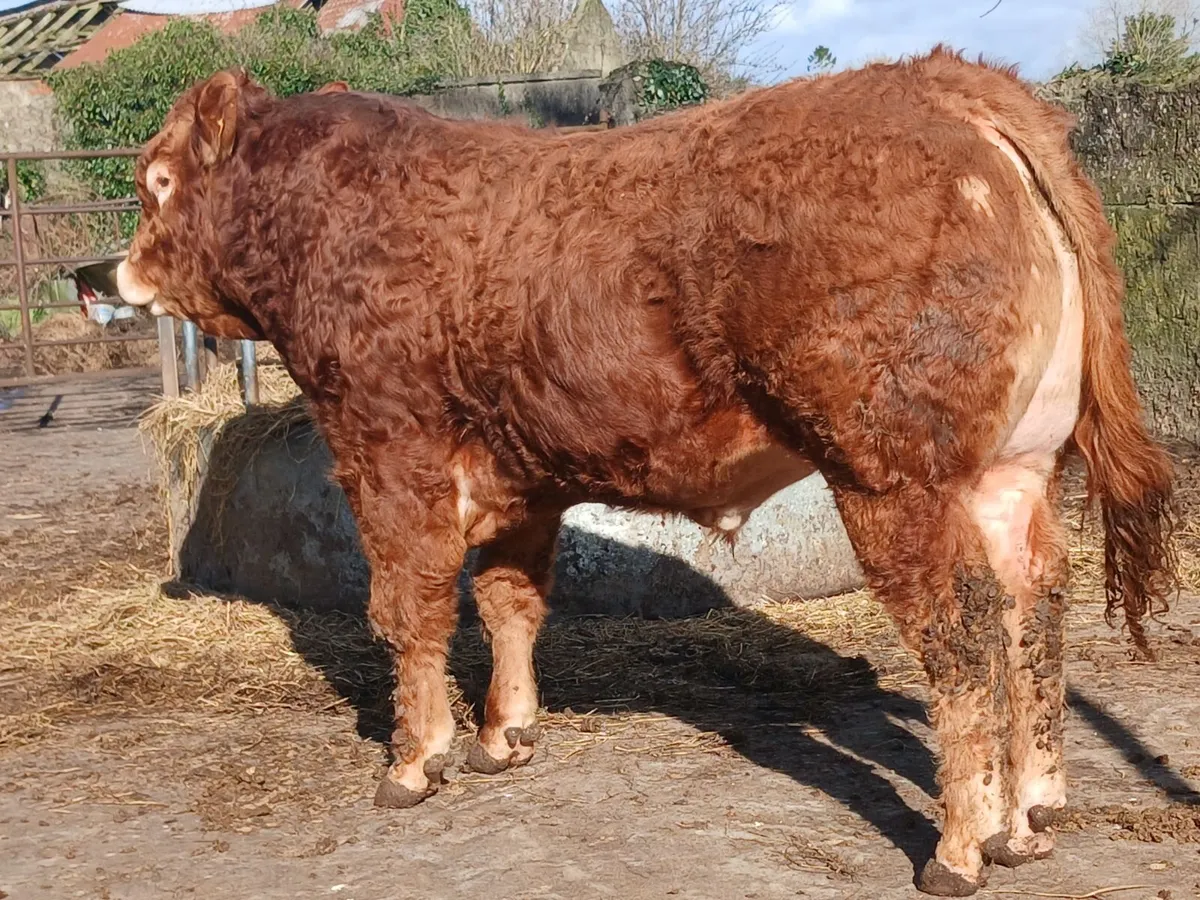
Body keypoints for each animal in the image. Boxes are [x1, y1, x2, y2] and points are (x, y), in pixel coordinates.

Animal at [116, 47, 1176, 896]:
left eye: (157, 180)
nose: (109, 274)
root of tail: (945, 82)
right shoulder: (522, 479)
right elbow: (509, 601)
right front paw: (506, 736)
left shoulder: (388, 448)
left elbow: (409, 610)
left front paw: (415, 761)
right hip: (1013, 469)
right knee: (1034, 603)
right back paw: (1032, 819)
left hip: (893, 479)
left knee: (962, 634)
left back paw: (961, 848)